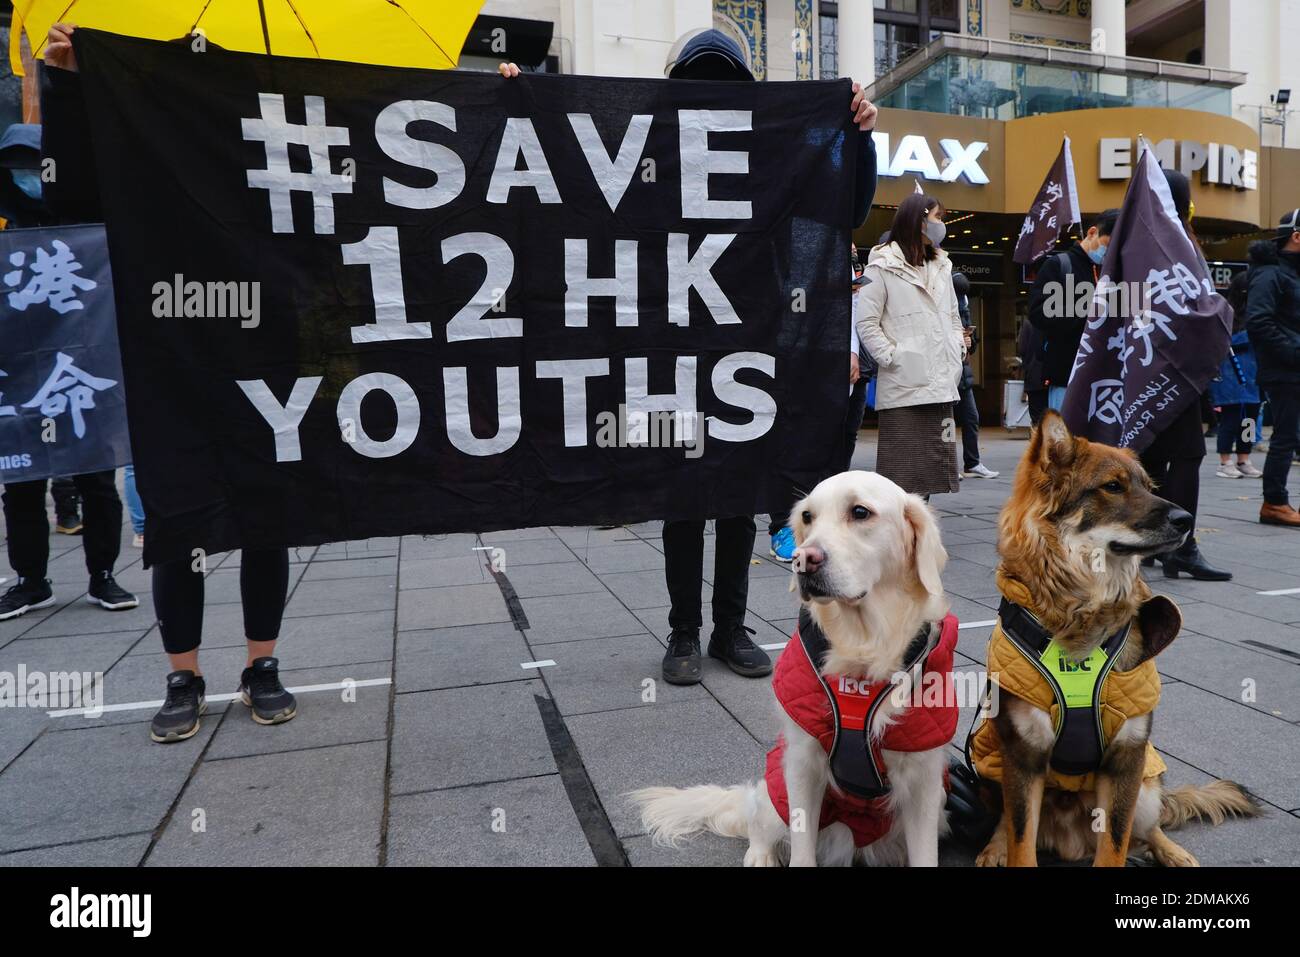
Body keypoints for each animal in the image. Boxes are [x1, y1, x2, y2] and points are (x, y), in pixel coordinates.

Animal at [631, 470, 956, 868]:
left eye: (860, 512)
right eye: (807, 517)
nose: (803, 559)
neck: (862, 647)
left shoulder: (925, 778)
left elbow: (925, 853)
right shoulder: (802, 762)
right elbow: (801, 845)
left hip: (936, 807)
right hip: (774, 791)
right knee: (758, 823)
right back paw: (760, 856)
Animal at [977, 413, 1258, 868]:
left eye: (1149, 484)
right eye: (1113, 486)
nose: (1187, 520)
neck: (1080, 617)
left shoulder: (1127, 757)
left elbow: (1116, 842)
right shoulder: (1022, 754)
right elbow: (1021, 839)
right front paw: (1007, 847)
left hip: (1146, 784)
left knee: (1150, 826)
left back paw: (1172, 851)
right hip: (989, 770)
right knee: (1006, 820)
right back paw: (993, 847)